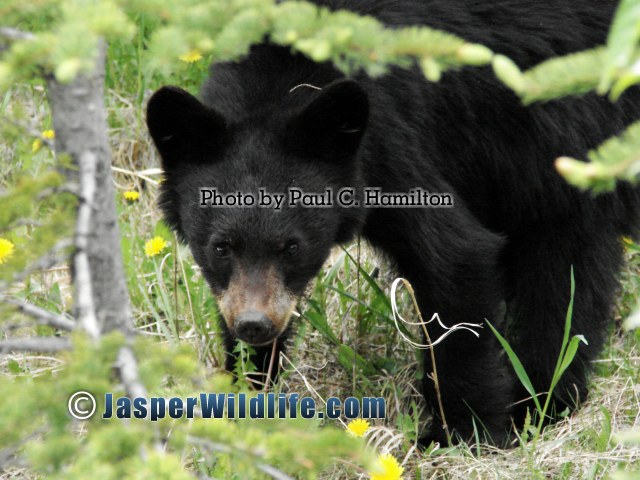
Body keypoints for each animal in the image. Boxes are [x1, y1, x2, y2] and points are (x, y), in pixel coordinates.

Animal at [146, 0, 640, 446]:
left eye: (293, 247)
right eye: (220, 246)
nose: (255, 326)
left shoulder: (395, 143)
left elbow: (456, 256)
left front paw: (460, 434)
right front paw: (243, 398)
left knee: (562, 280)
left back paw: (538, 403)